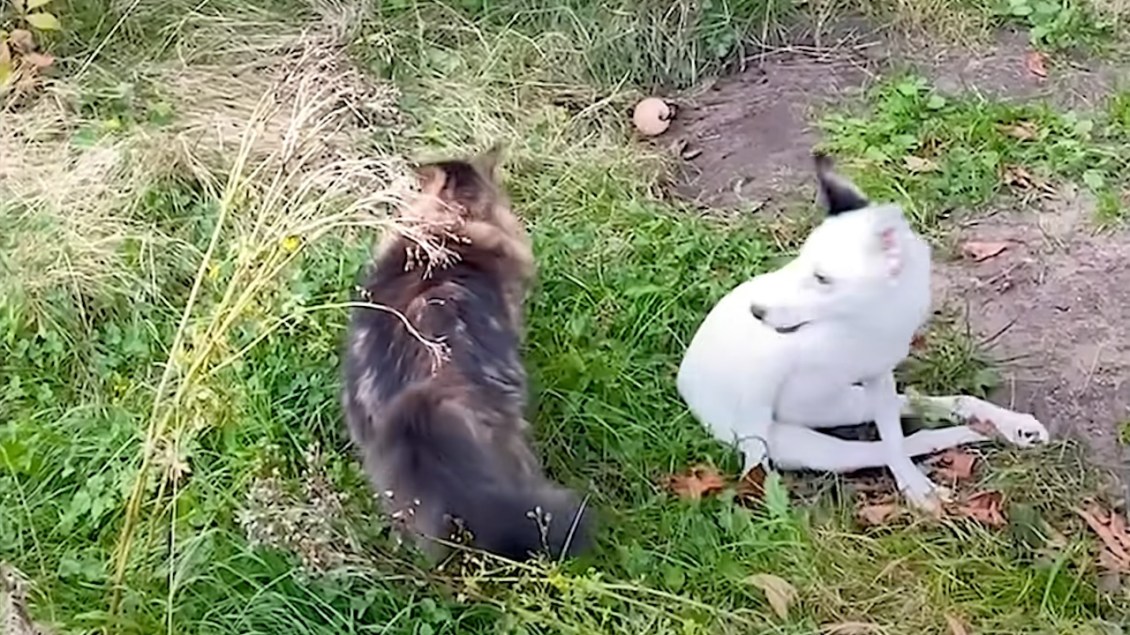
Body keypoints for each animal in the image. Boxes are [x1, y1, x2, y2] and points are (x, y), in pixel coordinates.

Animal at [668, 152, 1048, 508]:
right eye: (799, 263)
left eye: (822, 278)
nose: (756, 312)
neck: (855, 326)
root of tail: (684, 381)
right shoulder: (765, 374)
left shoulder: (878, 377)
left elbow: (894, 439)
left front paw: (913, 484)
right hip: (816, 436)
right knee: (892, 440)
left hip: (846, 405)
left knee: (924, 415)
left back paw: (1007, 427)